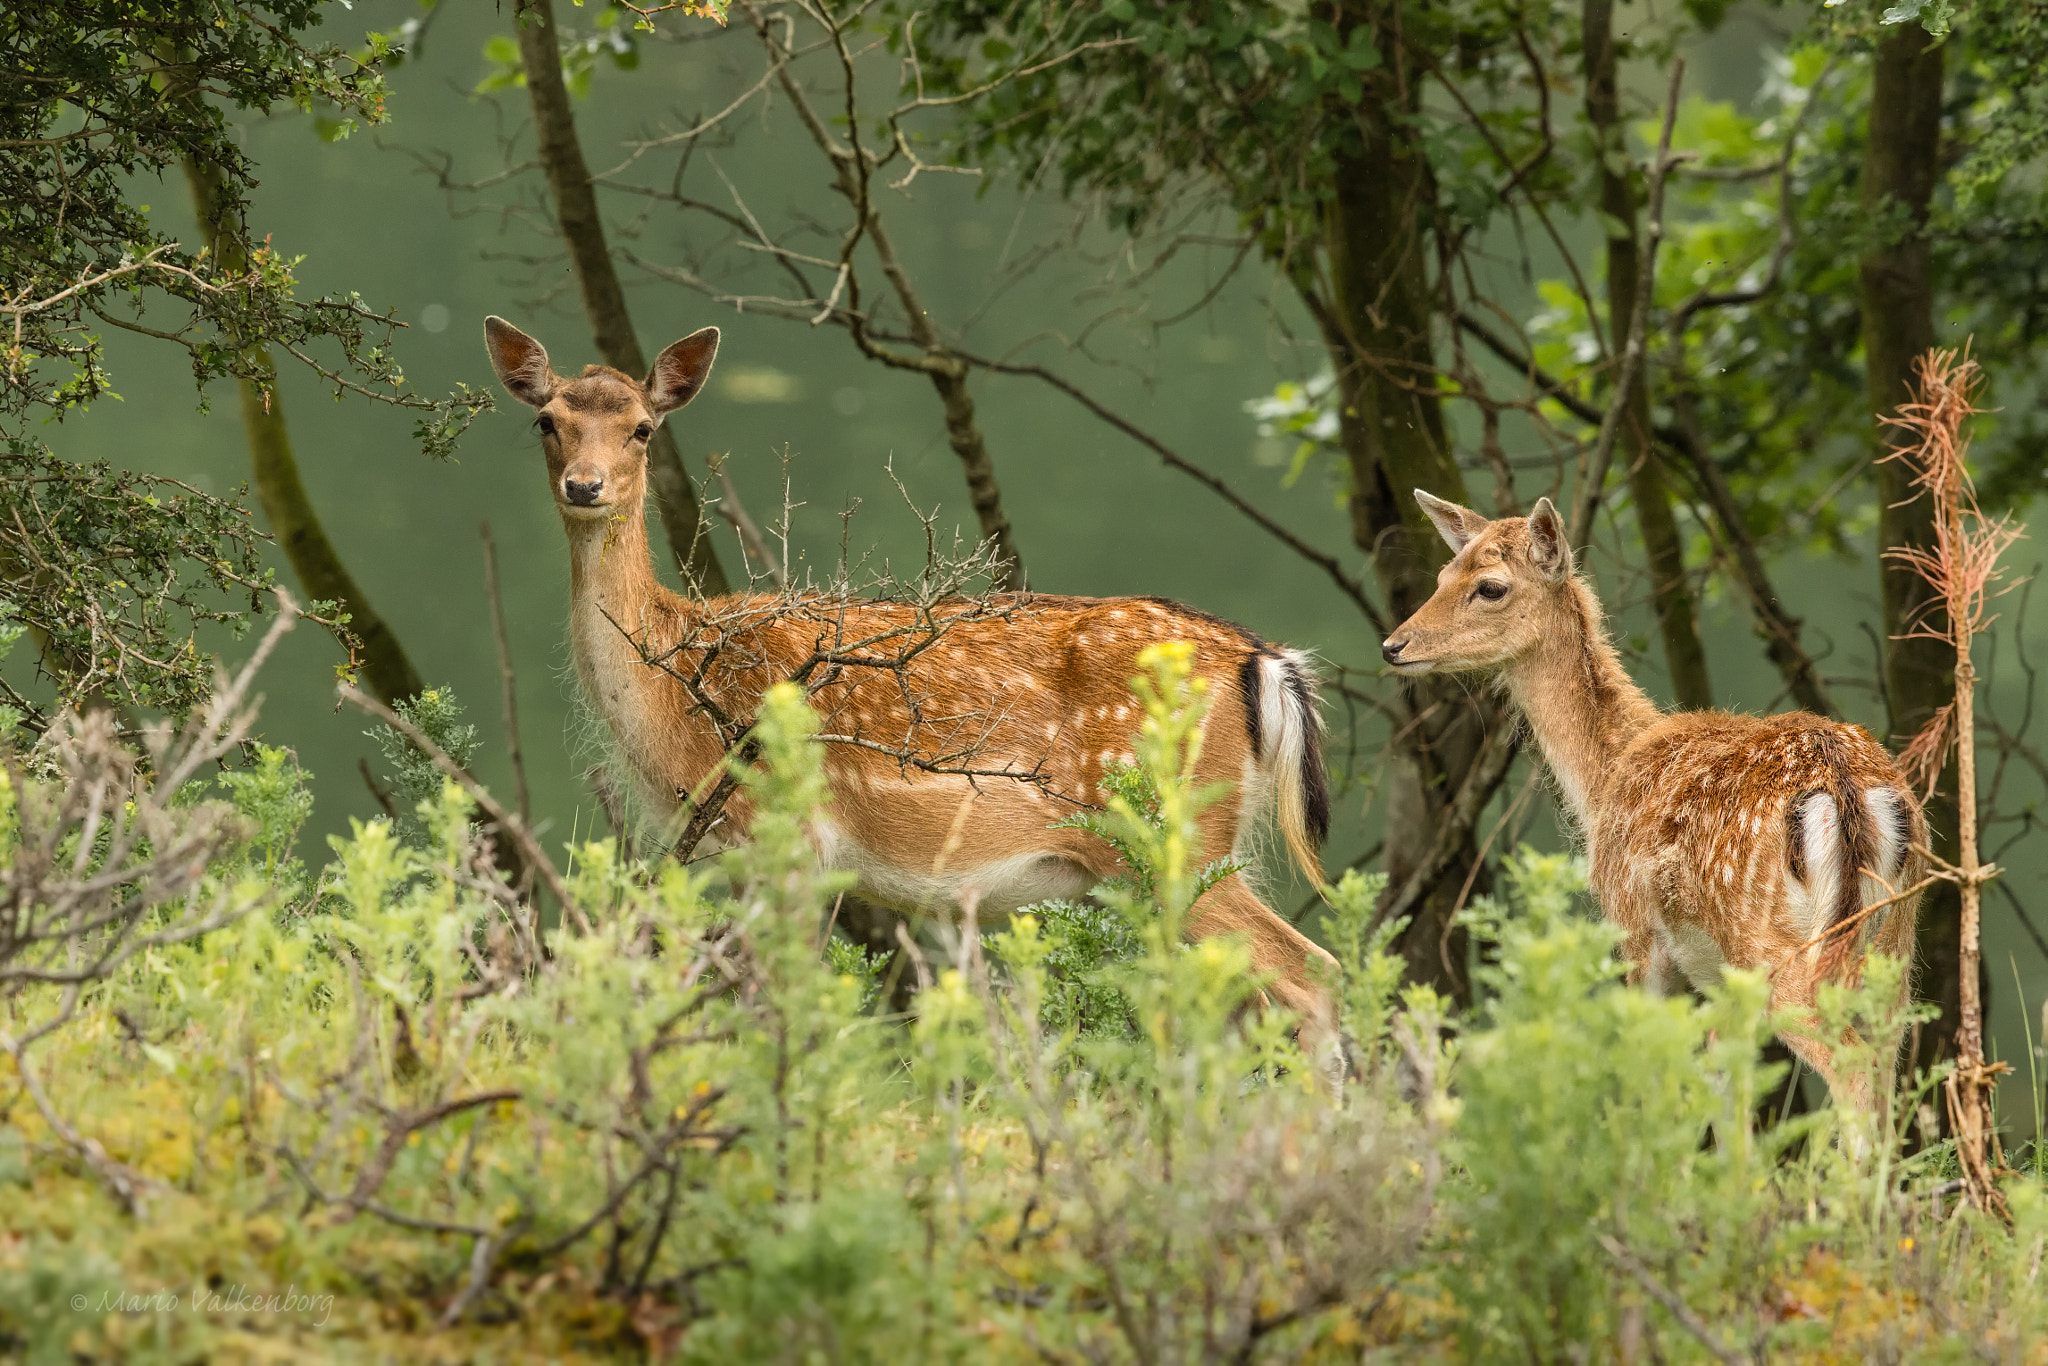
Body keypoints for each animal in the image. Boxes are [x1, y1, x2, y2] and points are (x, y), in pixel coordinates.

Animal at [479, 317, 1343, 1048]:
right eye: (547, 420)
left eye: (643, 428)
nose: (586, 486)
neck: (672, 691)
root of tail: (1266, 661)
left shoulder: (787, 833)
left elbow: (780, 1004)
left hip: (1172, 832)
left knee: (1312, 975)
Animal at [1384, 491, 1925, 1114]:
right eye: (1444, 575)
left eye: (1490, 586)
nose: (1394, 645)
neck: (1606, 778)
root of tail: (1848, 791)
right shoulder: (1719, 984)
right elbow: (1728, 1089)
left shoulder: (1633, 927)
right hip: (1895, 944)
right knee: (1888, 1070)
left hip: (1773, 946)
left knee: (1854, 1070)